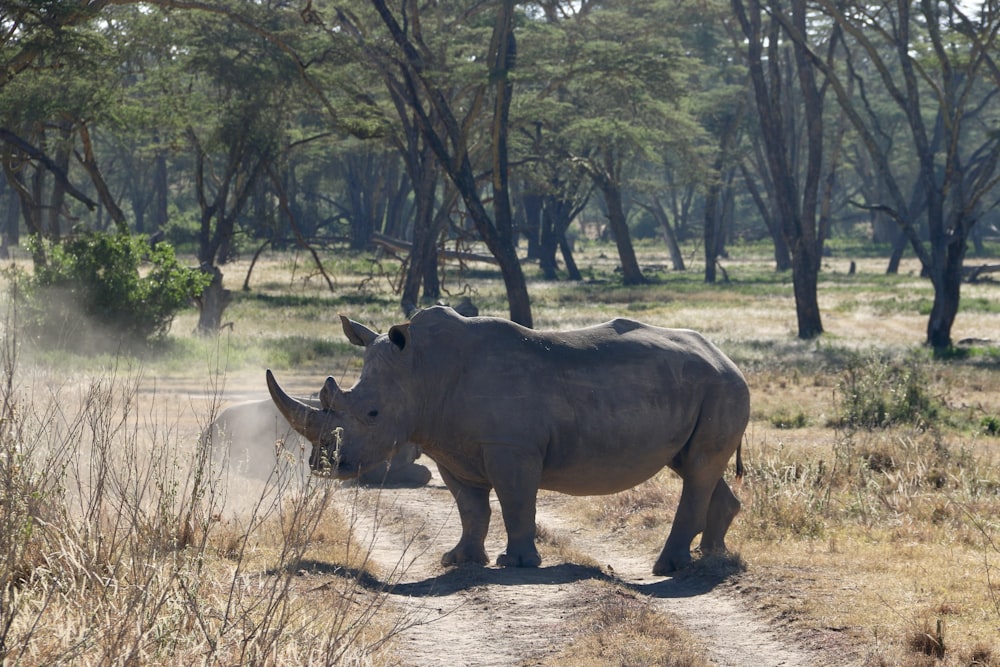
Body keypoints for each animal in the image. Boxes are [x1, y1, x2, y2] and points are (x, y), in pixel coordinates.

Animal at [266, 306, 752, 576]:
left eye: (372, 414)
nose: (324, 465)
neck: (422, 371)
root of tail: (727, 357)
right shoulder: (450, 447)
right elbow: (470, 508)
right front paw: (459, 560)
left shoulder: (510, 447)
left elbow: (516, 502)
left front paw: (516, 564)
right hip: (699, 387)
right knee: (695, 465)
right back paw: (712, 558)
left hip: (722, 386)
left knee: (699, 468)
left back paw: (669, 567)